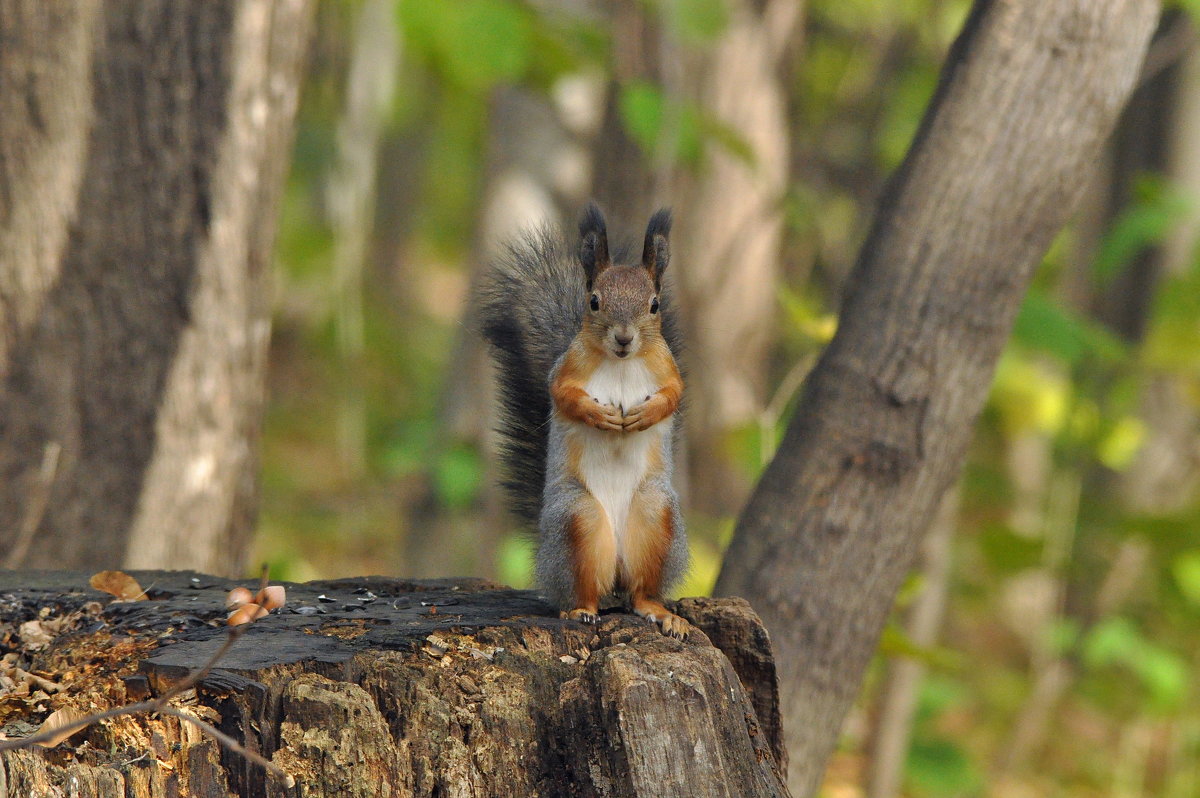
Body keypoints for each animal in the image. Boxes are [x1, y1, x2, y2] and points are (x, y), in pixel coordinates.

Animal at [475, 202, 686, 638]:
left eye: (654, 305)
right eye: (593, 301)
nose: (623, 338)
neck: (621, 363)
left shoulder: (669, 370)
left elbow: (673, 396)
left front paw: (644, 414)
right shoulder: (565, 371)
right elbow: (563, 396)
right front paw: (599, 414)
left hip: (654, 513)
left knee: (640, 592)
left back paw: (660, 612)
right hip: (577, 518)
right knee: (585, 588)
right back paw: (579, 610)